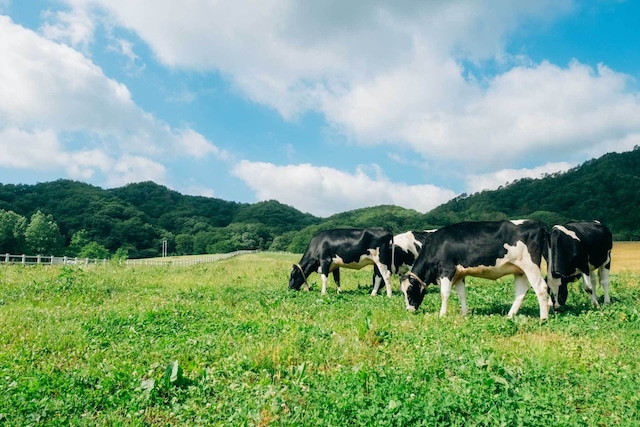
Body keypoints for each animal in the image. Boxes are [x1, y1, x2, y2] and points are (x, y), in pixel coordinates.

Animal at [400, 221, 552, 320]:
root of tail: (538, 223)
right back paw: (510, 316)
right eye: (403, 292)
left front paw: (442, 314)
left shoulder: (447, 269)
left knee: (541, 287)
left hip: (530, 265)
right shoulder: (459, 274)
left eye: (409, 290)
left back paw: (543, 318)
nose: (409, 310)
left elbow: (444, 294)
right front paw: (464, 313)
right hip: (519, 270)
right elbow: (461, 294)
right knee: (521, 291)